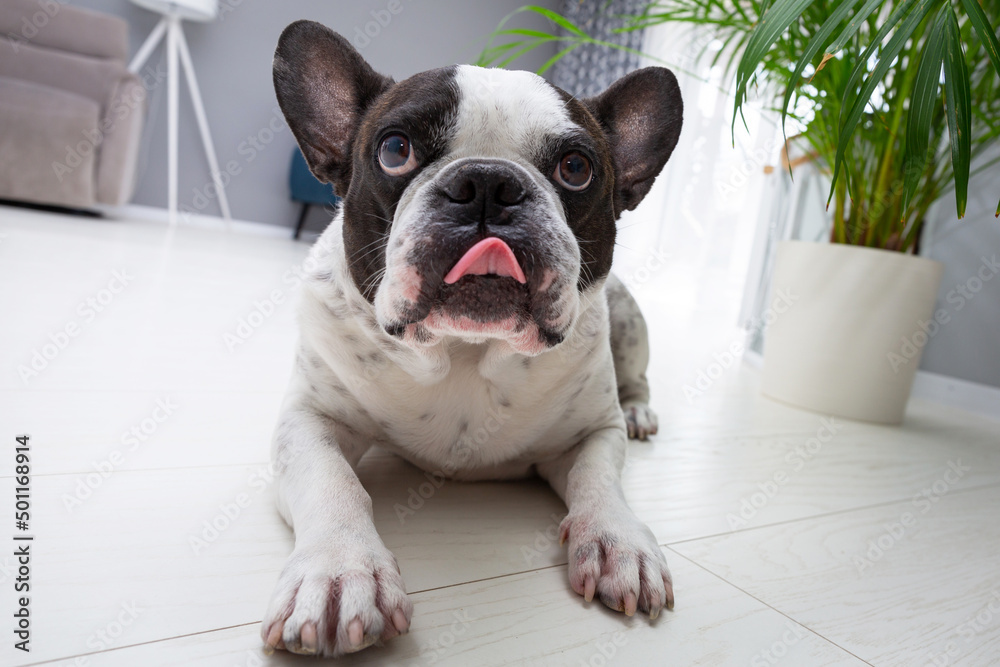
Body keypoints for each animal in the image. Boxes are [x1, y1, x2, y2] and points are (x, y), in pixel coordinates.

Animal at [262, 19, 684, 656]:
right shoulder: (308, 419)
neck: (465, 350)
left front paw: (620, 541)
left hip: (629, 319)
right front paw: (339, 570)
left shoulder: (591, 432)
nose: (488, 182)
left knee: (636, 383)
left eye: (576, 168)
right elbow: (332, 482)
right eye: (395, 150)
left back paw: (639, 412)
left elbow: (599, 479)